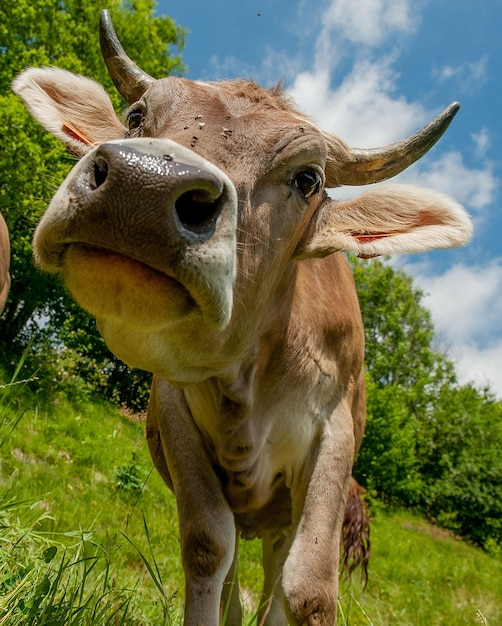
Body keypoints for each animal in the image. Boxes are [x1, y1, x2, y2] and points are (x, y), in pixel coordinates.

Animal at [12, 11, 474, 624]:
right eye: (136, 116)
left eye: (308, 179)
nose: (144, 182)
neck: (249, 384)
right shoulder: (174, 407)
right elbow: (208, 546)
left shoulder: (333, 434)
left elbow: (307, 586)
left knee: (279, 573)